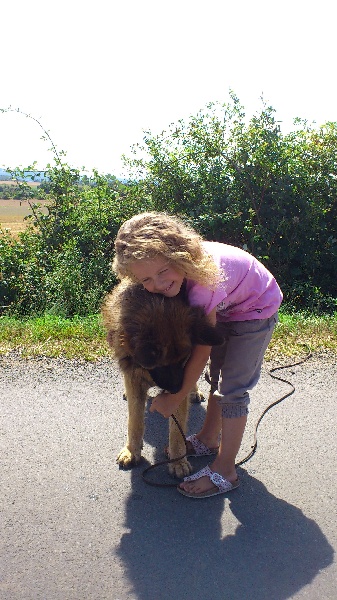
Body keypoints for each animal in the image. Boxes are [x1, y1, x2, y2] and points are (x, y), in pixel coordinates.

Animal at [102, 280, 223, 478]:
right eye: (162, 364)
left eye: (184, 360)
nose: (176, 390)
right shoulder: (134, 378)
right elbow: (134, 420)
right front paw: (131, 451)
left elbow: (176, 428)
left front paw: (178, 461)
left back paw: (194, 392)